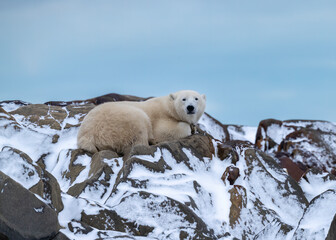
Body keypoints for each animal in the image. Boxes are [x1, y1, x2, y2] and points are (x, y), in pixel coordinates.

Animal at [77, 90, 206, 154]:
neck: (168, 107)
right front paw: (189, 128)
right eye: (183, 99)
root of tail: (85, 136)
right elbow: (163, 132)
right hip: (118, 122)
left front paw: (194, 127)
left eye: (196, 98)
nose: (190, 107)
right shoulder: (161, 117)